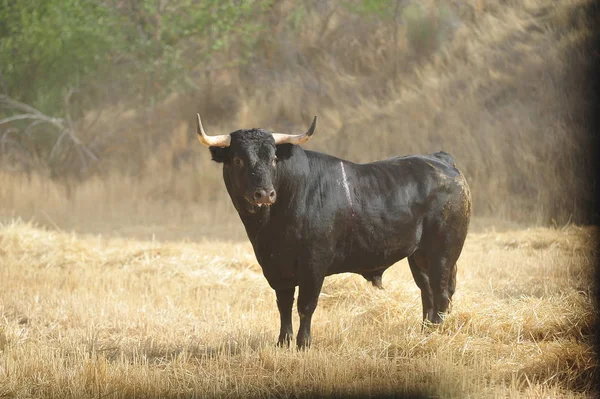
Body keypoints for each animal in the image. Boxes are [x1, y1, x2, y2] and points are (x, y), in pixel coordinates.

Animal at [199, 115, 472, 350]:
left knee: (442, 292)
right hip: (418, 256)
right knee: (427, 291)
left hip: (443, 252)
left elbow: (306, 305)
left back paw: (437, 333)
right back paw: (425, 332)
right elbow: (284, 305)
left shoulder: (313, 264)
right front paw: (283, 342)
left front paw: (303, 344)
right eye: (237, 160)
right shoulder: (275, 268)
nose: (264, 193)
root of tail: (441, 160)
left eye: (274, 158)